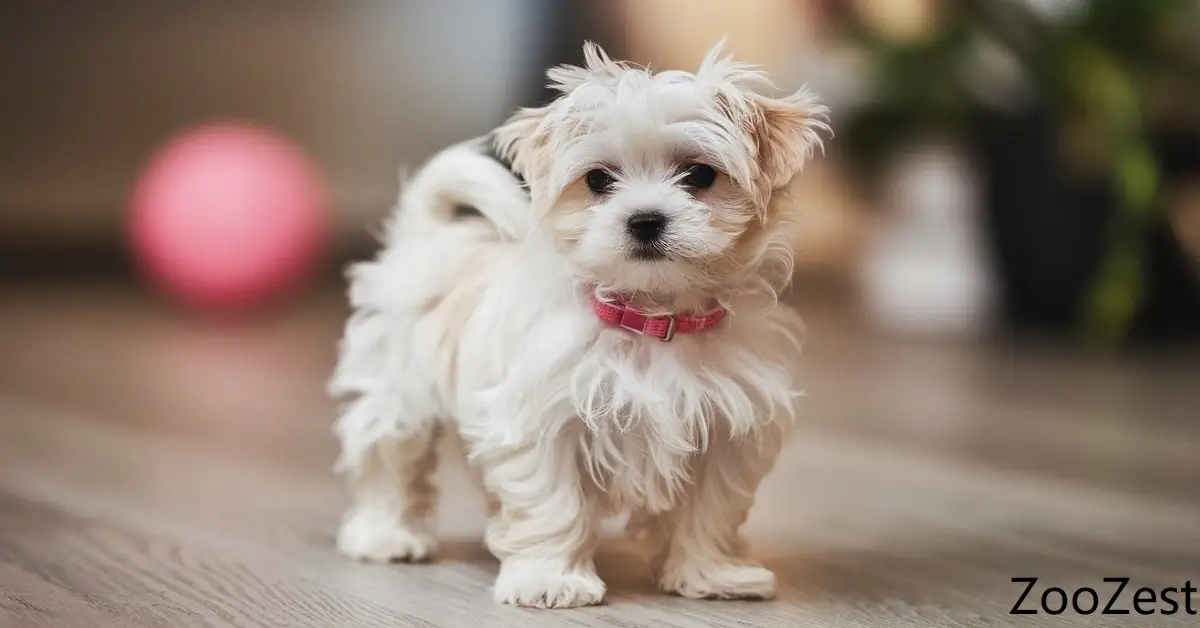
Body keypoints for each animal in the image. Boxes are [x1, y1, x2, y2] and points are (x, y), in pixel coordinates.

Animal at [333, 40, 830, 609]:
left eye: (700, 175)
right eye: (598, 180)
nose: (645, 220)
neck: (652, 318)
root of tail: (429, 235)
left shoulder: (728, 430)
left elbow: (712, 509)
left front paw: (712, 573)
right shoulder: (544, 421)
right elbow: (552, 503)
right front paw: (549, 579)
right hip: (398, 395)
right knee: (388, 462)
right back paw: (385, 535)